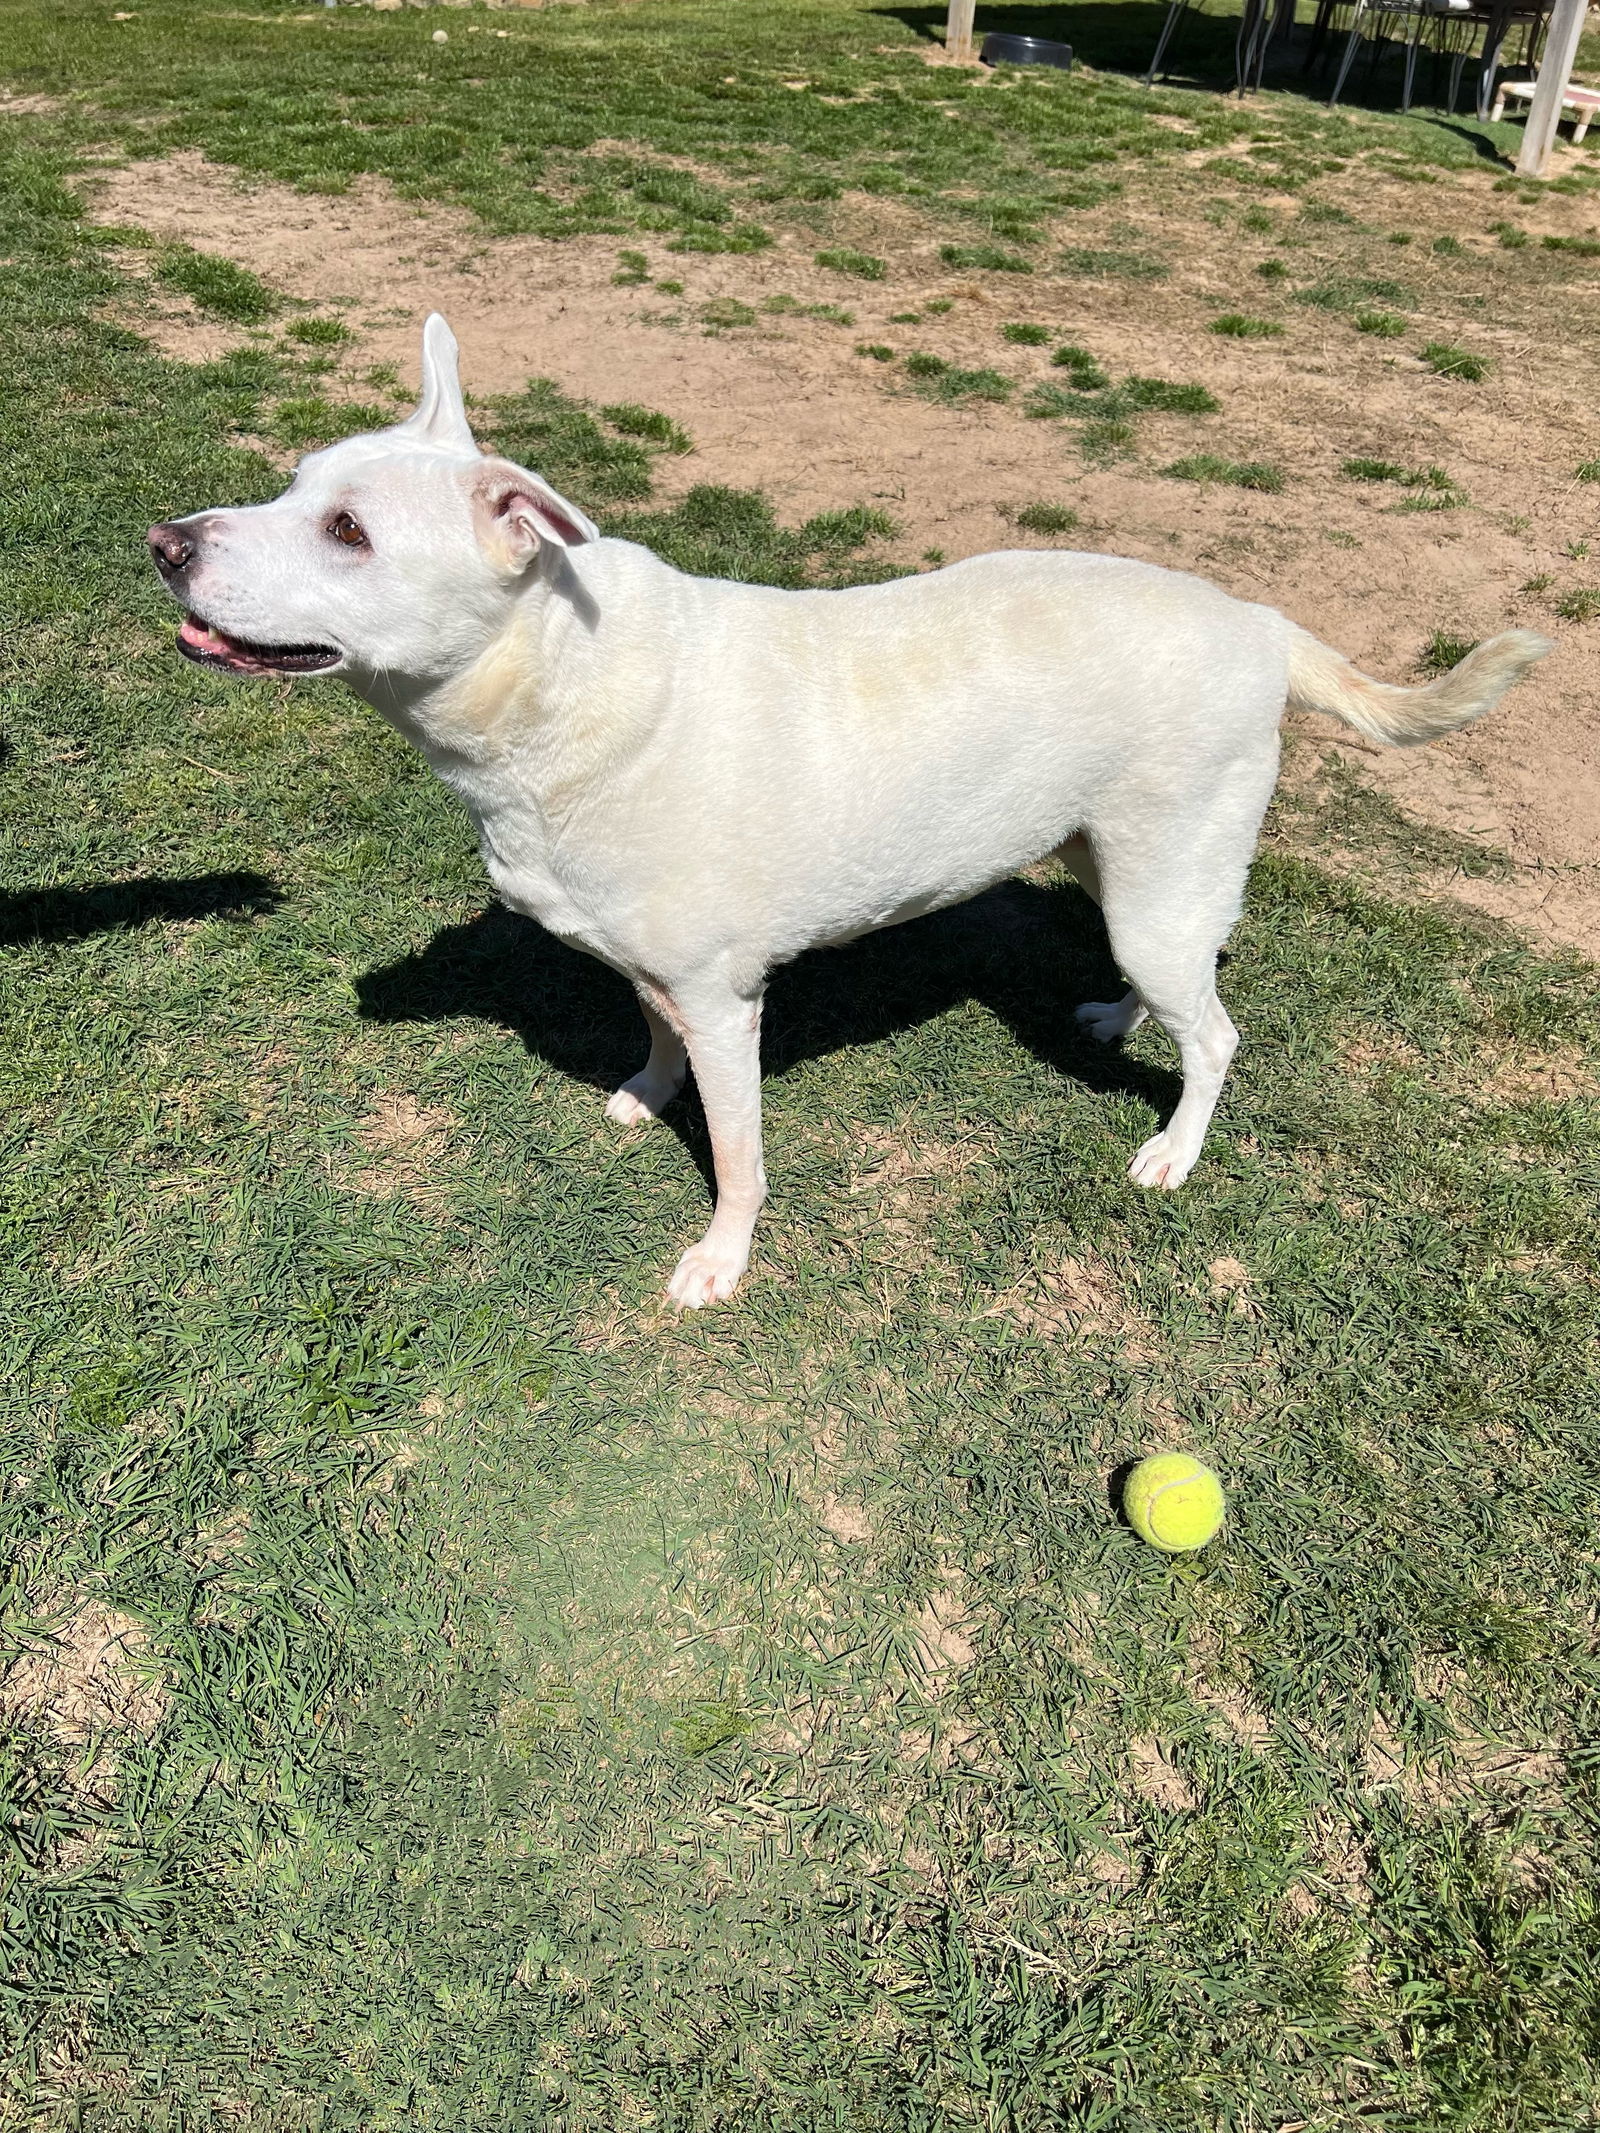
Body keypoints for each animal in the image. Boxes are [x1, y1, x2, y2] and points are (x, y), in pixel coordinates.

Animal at [150, 317, 1553, 1305]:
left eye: (347, 532)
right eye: (293, 484)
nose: (166, 542)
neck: (557, 687)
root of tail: (1262, 624)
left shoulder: (729, 1004)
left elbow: (739, 1157)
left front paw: (720, 1259)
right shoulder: (654, 972)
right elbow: (652, 1040)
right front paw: (642, 1091)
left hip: (1164, 881)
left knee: (1216, 1036)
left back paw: (1174, 1150)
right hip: (1118, 864)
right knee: (1177, 974)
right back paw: (1114, 1014)